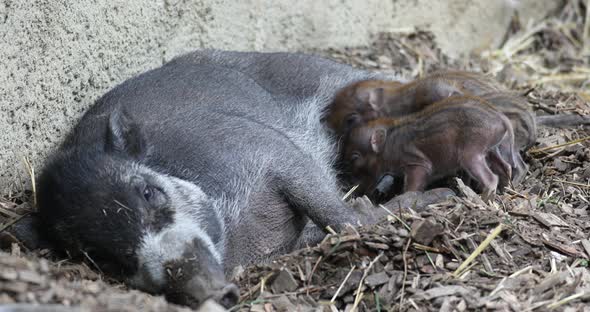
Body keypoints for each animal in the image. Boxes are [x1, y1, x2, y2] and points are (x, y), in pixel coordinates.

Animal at [34, 50, 396, 308]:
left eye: (148, 192)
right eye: (99, 257)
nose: (211, 290)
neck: (236, 236)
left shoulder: (262, 147)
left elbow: (321, 200)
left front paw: (364, 217)